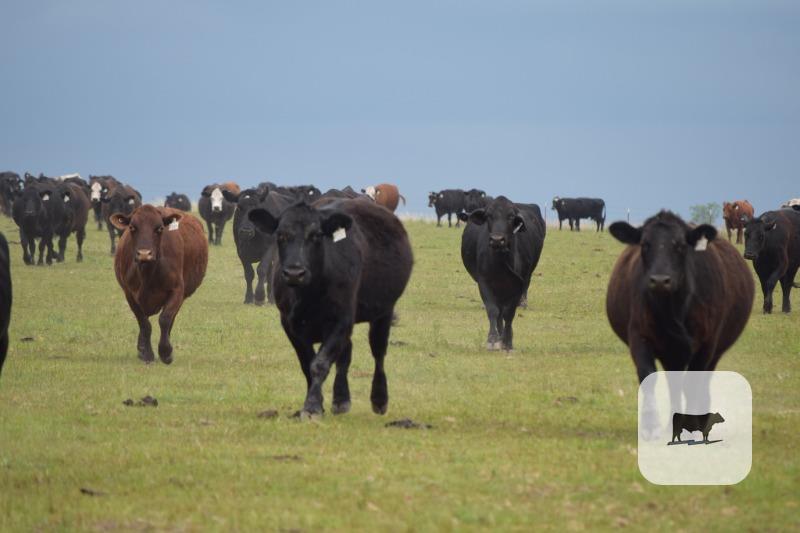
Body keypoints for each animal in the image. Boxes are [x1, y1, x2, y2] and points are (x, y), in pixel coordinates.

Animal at [111, 205, 208, 364]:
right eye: (132, 227)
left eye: (159, 228)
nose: (144, 254)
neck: (147, 274)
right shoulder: (129, 294)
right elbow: (144, 323)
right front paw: (147, 353)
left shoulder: (177, 291)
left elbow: (165, 319)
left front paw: (165, 352)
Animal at [247, 198, 413, 417]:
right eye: (280, 235)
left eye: (316, 235)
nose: (294, 273)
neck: (309, 295)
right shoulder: (290, 324)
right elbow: (307, 364)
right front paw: (316, 403)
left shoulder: (341, 320)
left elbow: (320, 363)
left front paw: (312, 407)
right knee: (346, 355)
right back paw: (341, 400)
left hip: (384, 312)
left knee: (378, 353)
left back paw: (379, 399)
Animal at [459, 196, 546, 351]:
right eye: (489, 216)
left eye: (511, 216)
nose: (497, 240)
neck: (500, 263)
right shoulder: (484, 282)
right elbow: (493, 311)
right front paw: (493, 339)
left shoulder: (518, 285)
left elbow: (509, 314)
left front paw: (508, 341)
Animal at [606, 211, 753, 438]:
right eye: (645, 244)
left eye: (681, 245)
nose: (660, 280)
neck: (672, 309)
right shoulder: (639, 336)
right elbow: (648, 376)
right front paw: (650, 426)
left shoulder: (706, 345)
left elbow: (692, 383)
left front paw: (692, 425)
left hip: (712, 352)